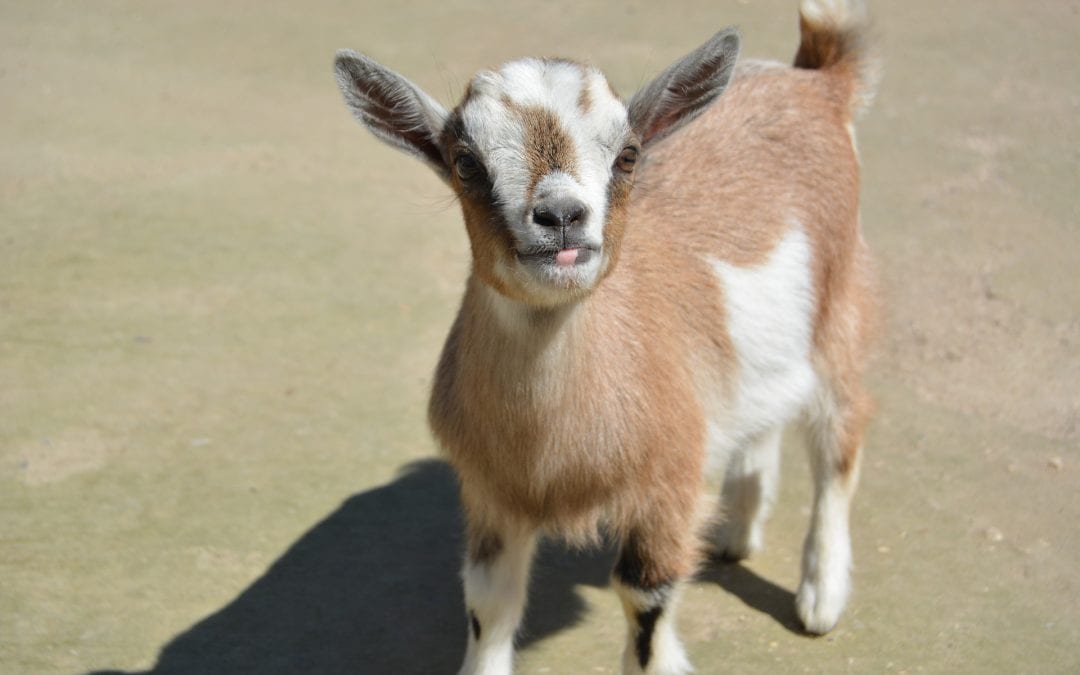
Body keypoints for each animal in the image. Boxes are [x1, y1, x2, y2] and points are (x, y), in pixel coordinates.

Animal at [335, 0, 878, 672]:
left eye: (628, 155)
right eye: (465, 163)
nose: (562, 217)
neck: (551, 451)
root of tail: (816, 78)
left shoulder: (665, 485)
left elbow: (644, 599)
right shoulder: (491, 492)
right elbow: (488, 602)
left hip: (841, 307)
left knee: (840, 436)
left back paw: (820, 597)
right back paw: (736, 530)